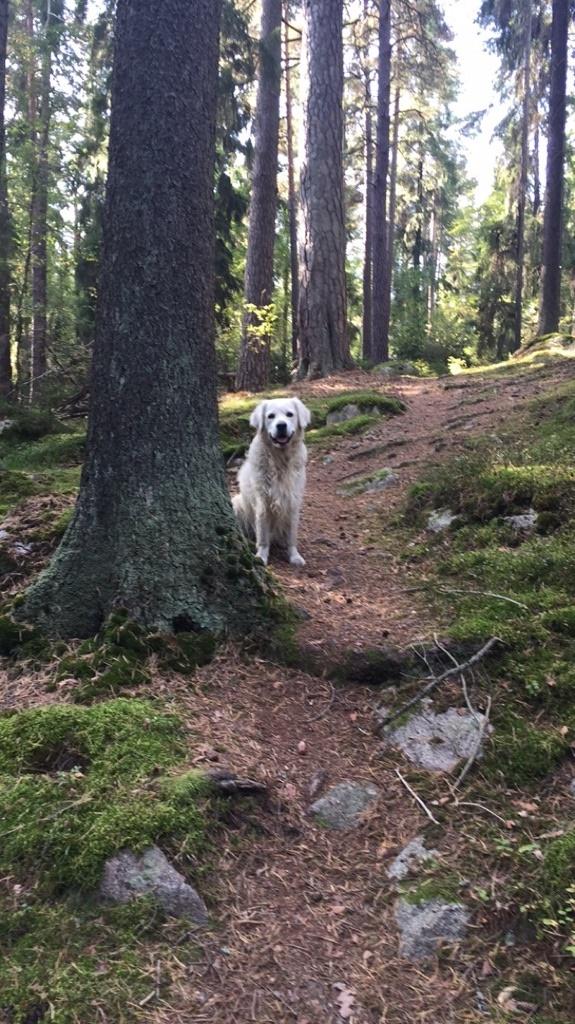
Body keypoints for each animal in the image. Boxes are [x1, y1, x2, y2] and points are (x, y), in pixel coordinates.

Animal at [231, 395, 308, 565]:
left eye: (289, 414)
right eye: (271, 416)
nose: (281, 425)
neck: (280, 459)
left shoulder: (292, 501)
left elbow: (292, 536)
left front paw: (294, 556)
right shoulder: (263, 503)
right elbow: (263, 537)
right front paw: (261, 556)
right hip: (237, 503)